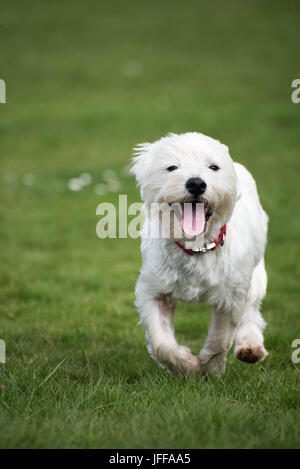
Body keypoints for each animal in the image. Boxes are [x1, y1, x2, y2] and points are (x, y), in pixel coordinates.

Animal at [131, 133, 268, 376]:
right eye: (172, 167)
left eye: (213, 167)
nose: (196, 183)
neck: (196, 247)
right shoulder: (153, 290)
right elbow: (161, 343)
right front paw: (186, 365)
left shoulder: (231, 296)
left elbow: (221, 338)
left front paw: (211, 369)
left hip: (256, 275)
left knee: (251, 309)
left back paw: (250, 346)